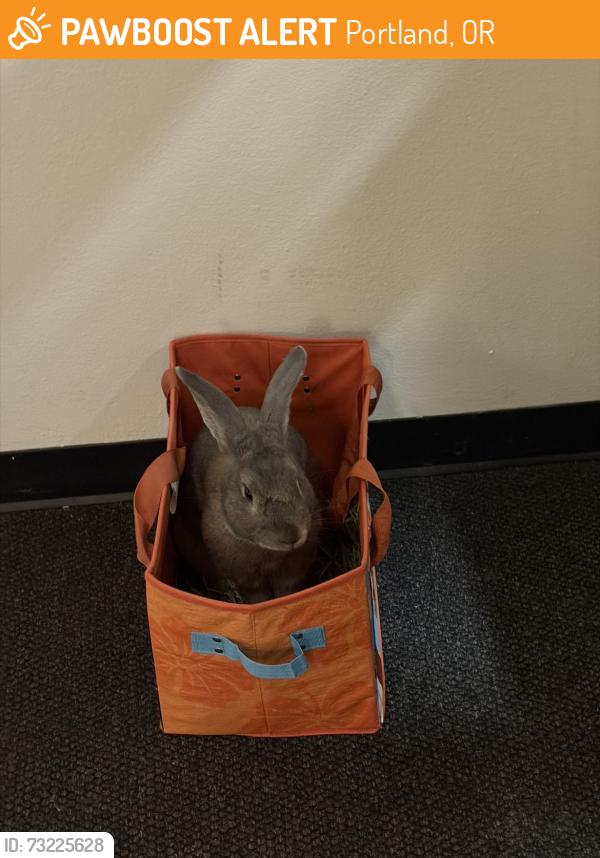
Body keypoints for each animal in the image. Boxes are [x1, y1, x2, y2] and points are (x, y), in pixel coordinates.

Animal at [172, 346, 323, 604]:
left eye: (297, 481)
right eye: (248, 493)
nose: (291, 536)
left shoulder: (292, 572)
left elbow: (288, 591)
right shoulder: (246, 579)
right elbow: (257, 598)